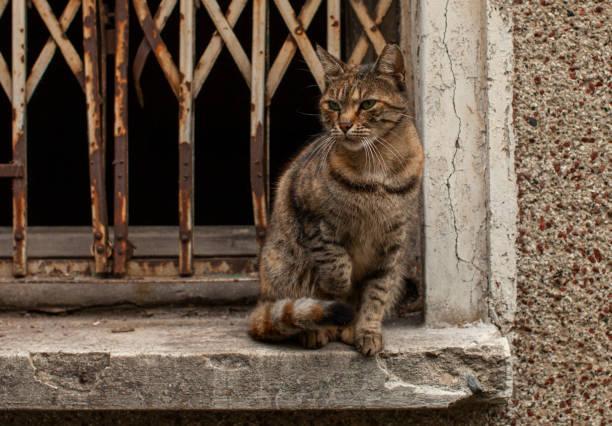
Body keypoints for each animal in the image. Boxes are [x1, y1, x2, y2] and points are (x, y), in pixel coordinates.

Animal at [246, 44, 424, 356]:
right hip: (283, 267)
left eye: (367, 104)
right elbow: (337, 264)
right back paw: (318, 330)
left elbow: (376, 295)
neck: (376, 167)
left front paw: (366, 331)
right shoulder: (314, 219)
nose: (343, 125)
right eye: (333, 106)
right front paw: (340, 288)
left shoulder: (393, 244)